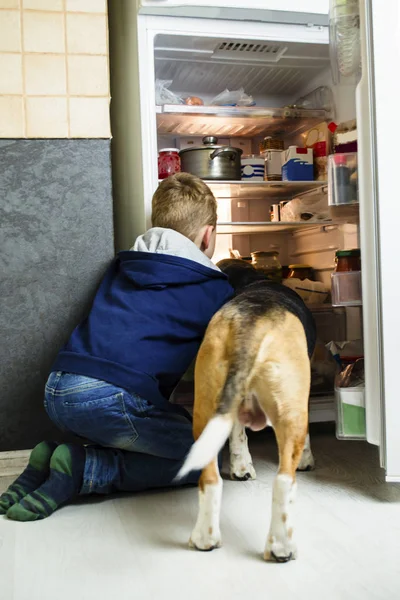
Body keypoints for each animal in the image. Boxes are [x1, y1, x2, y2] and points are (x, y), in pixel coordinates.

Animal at [180, 258, 318, 564]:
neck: (254, 280)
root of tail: (251, 322)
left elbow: (238, 437)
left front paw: (241, 466)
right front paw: (307, 459)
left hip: (206, 407)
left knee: (210, 478)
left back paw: (205, 538)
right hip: (291, 415)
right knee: (283, 481)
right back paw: (281, 546)